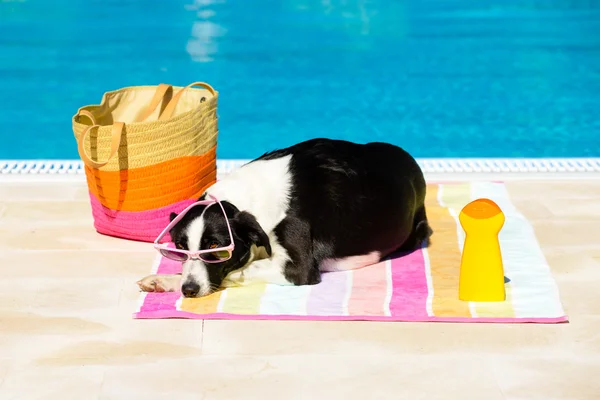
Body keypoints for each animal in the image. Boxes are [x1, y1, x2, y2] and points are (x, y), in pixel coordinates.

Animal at [138, 138, 434, 296]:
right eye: (179, 248)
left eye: (215, 248)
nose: (188, 291)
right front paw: (165, 280)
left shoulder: (298, 269)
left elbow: (237, 270)